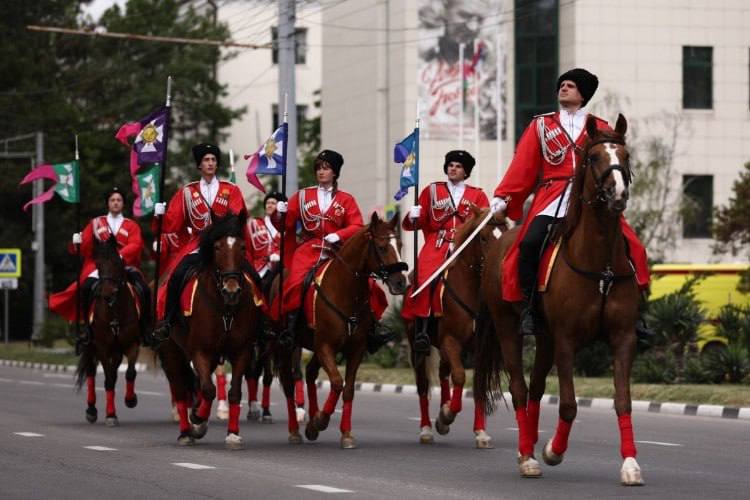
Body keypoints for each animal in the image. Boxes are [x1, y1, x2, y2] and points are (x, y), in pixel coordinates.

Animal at [77, 234, 145, 426]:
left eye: (116, 262)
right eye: (98, 264)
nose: (107, 293)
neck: (114, 309)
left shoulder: (132, 344)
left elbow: (130, 372)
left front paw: (130, 399)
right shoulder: (101, 346)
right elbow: (107, 380)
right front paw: (110, 415)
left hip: (116, 351)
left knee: (114, 374)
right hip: (92, 346)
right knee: (92, 372)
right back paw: (91, 410)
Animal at [160, 213, 262, 448]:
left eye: (243, 247)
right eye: (216, 247)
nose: (231, 290)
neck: (225, 309)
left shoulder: (241, 351)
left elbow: (234, 392)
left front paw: (232, 433)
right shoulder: (200, 351)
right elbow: (208, 389)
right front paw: (197, 418)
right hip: (171, 349)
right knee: (181, 389)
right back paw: (186, 431)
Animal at [276, 213, 408, 448]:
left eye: (400, 244)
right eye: (382, 247)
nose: (401, 283)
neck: (347, 292)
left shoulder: (355, 349)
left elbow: (348, 390)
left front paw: (344, 433)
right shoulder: (325, 345)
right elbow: (337, 383)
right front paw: (320, 420)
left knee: (310, 373)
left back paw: (311, 420)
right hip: (287, 346)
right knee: (290, 384)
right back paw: (295, 430)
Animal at [406, 205, 506, 448]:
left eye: (505, 232)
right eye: (482, 236)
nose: (498, 268)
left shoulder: (479, 348)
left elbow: (478, 385)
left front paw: (480, 432)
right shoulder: (451, 340)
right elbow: (460, 376)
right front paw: (447, 415)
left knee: (443, 373)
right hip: (417, 346)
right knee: (423, 384)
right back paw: (426, 428)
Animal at [476, 114, 648, 484]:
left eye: (625, 156)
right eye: (594, 157)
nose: (618, 194)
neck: (601, 264)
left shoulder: (623, 338)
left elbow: (623, 400)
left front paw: (630, 464)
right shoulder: (567, 340)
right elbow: (568, 404)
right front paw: (553, 451)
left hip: (544, 338)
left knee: (536, 388)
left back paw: (526, 446)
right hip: (508, 328)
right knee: (519, 388)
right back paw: (528, 456)